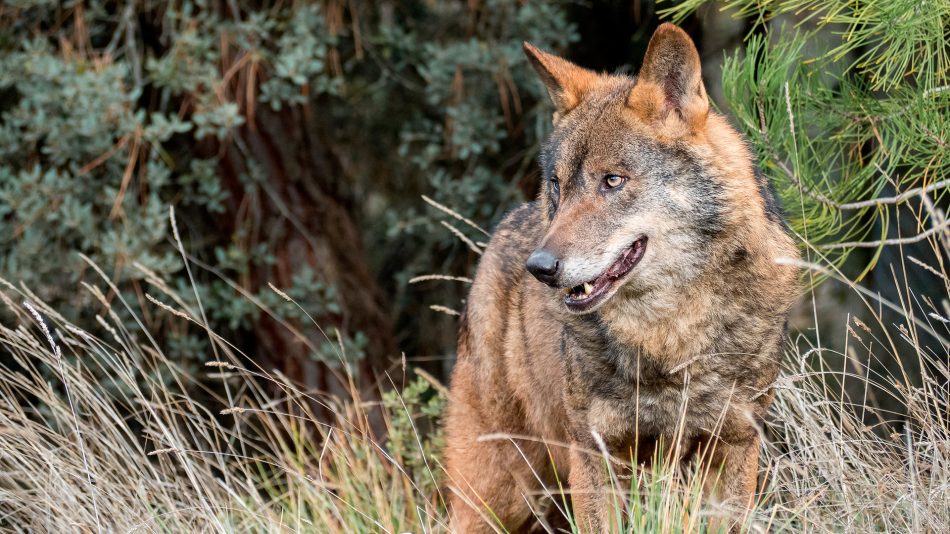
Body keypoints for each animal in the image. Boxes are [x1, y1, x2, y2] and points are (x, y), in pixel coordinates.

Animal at [442, 23, 800, 532]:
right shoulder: (596, 454)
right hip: (502, 493)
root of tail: (508, 224)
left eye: (612, 180)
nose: (541, 267)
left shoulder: (732, 447)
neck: (668, 336)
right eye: (558, 184)